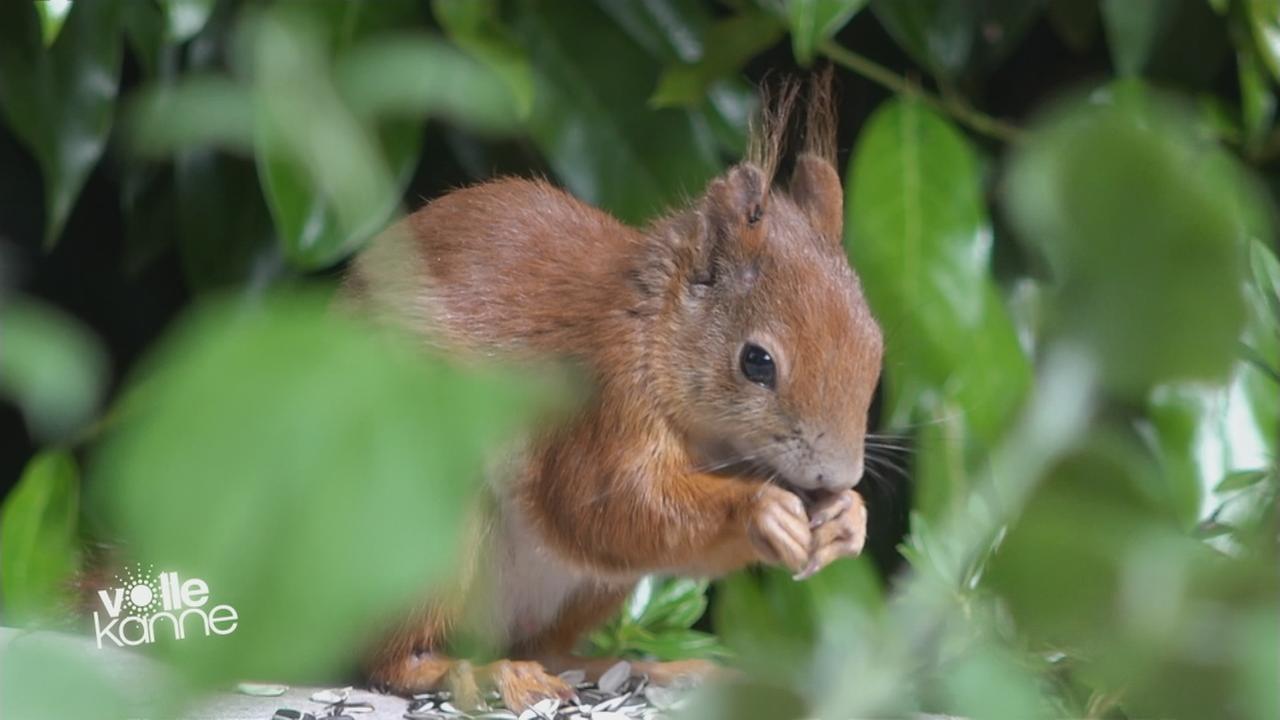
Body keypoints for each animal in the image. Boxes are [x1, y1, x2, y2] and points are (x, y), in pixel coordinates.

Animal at [340, 73, 880, 707]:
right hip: (423, 520)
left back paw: (652, 669)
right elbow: (605, 503)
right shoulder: (601, 392)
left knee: (548, 646)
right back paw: (477, 673)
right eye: (756, 362)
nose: (835, 477)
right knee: (390, 659)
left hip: (588, 591)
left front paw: (849, 520)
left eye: (876, 344)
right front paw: (762, 507)